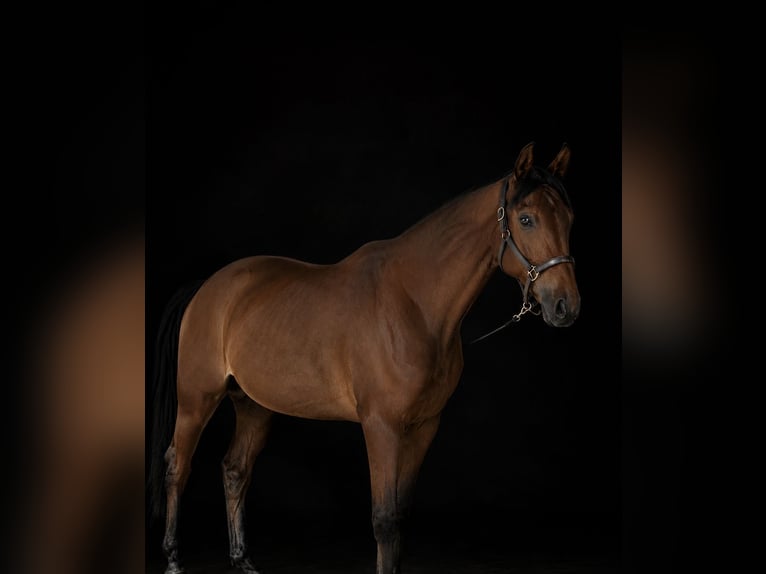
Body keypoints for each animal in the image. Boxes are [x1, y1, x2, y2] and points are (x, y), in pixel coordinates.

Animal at [148, 142, 580, 574]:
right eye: (526, 219)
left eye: (569, 218)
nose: (566, 306)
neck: (413, 304)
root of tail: (208, 287)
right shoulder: (381, 425)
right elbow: (384, 519)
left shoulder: (424, 426)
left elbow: (401, 515)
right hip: (197, 400)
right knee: (177, 466)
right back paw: (173, 558)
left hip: (254, 405)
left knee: (235, 470)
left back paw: (243, 561)